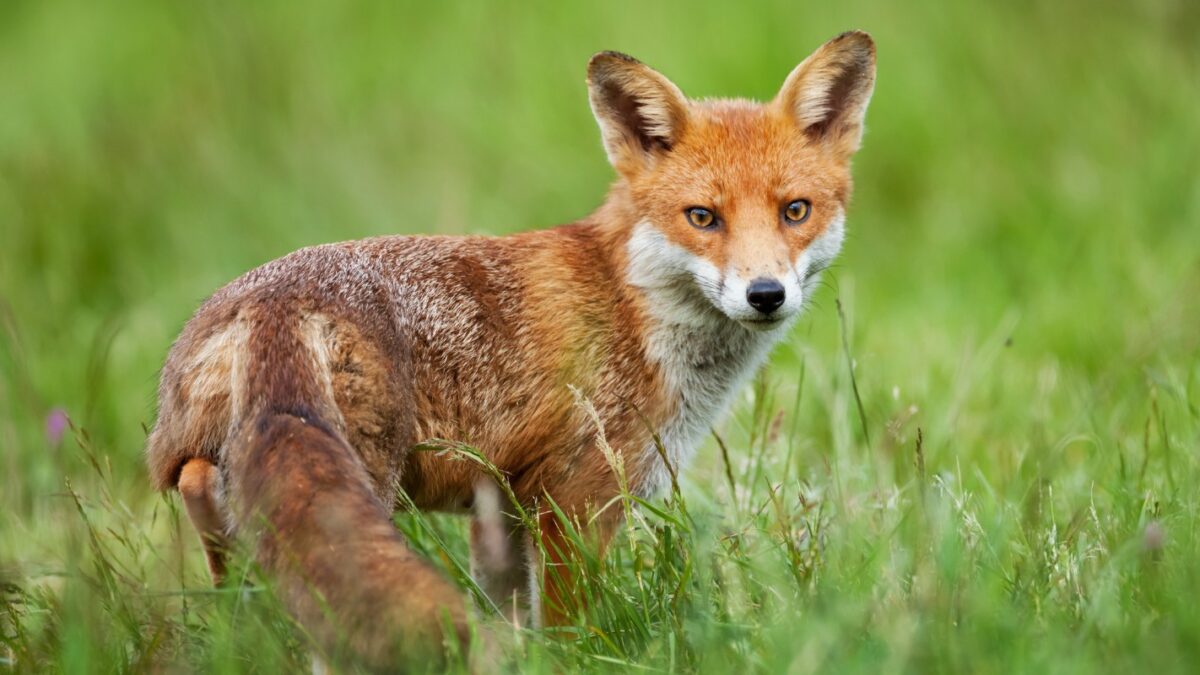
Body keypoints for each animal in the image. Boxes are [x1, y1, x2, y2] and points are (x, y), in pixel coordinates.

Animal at [146, 31, 876, 669]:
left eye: (795, 210)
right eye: (703, 217)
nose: (765, 294)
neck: (633, 308)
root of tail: (275, 301)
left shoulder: (501, 507)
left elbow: (509, 622)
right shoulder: (576, 498)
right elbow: (568, 630)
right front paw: (576, 664)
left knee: (220, 523)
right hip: (366, 485)